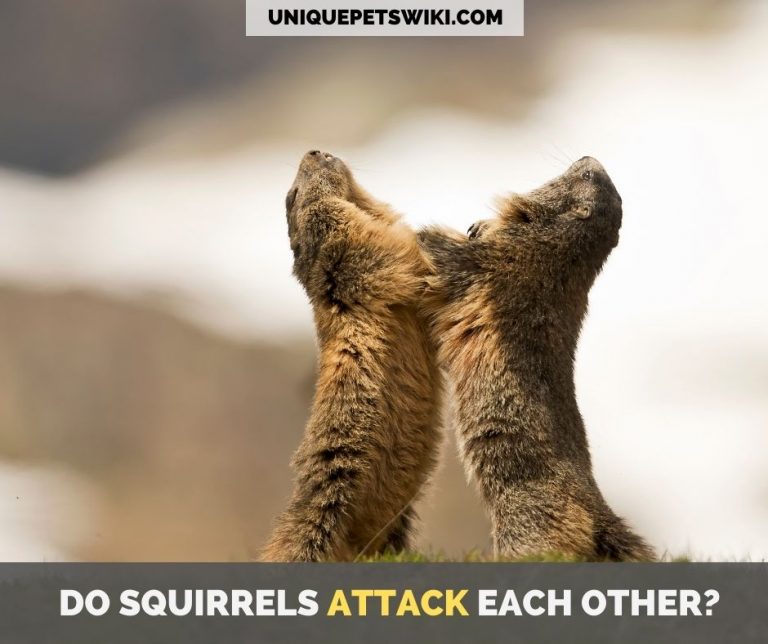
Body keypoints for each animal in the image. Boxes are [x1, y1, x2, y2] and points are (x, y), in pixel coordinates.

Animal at [418, 157, 654, 561]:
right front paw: (476, 226)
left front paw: (424, 233)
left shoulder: (502, 257)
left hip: (528, 522)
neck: (565, 243)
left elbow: (450, 257)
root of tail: (599, 515)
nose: (588, 158)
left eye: (587, 176)